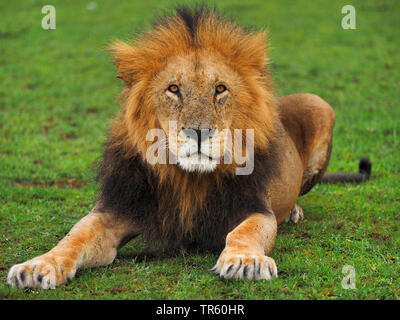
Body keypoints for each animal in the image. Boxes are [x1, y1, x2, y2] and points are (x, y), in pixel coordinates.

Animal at [7, 6, 372, 288]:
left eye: (220, 89)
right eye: (173, 89)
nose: (200, 132)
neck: (189, 179)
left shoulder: (255, 207)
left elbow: (246, 233)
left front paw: (246, 260)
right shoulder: (114, 210)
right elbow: (74, 238)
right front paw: (38, 265)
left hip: (320, 105)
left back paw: (293, 210)